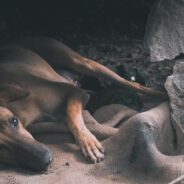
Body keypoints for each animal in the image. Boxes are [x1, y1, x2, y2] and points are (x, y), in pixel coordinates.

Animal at [0, 37, 166, 171]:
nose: (47, 159)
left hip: (83, 63)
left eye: (14, 121)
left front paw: (88, 142)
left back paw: (163, 94)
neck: (20, 110)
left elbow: (70, 116)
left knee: (131, 84)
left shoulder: (74, 92)